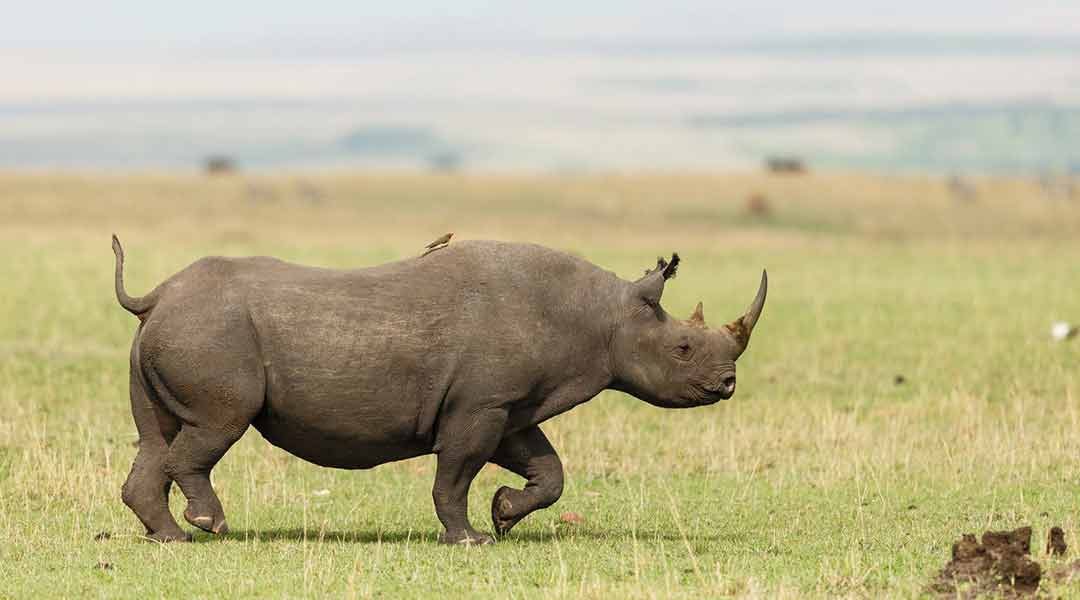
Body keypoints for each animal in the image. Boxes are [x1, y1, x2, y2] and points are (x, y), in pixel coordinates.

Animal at [113, 236, 766, 544]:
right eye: (683, 349)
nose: (728, 385)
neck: (600, 316)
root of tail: (155, 296)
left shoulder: (507, 405)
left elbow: (548, 469)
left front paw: (504, 514)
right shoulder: (480, 404)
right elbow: (456, 472)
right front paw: (471, 539)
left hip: (178, 329)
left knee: (157, 437)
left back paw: (169, 537)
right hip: (211, 333)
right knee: (217, 424)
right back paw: (210, 525)